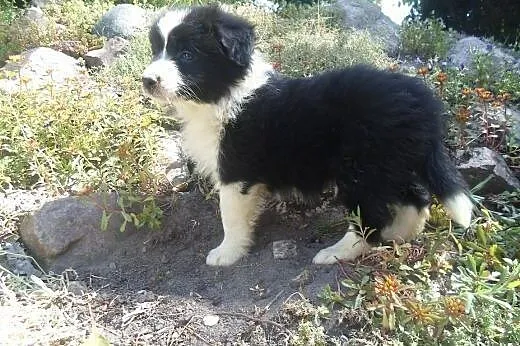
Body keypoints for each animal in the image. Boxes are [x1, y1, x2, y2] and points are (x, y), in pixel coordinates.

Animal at [140, 5, 474, 266]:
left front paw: (227, 253)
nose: (147, 80)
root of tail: (423, 103)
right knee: (415, 198)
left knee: (371, 216)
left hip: (362, 169)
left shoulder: (236, 172)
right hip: (391, 164)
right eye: (157, 51)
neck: (223, 96)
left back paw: (336, 253)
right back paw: (401, 235)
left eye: (186, 54)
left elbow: (230, 216)